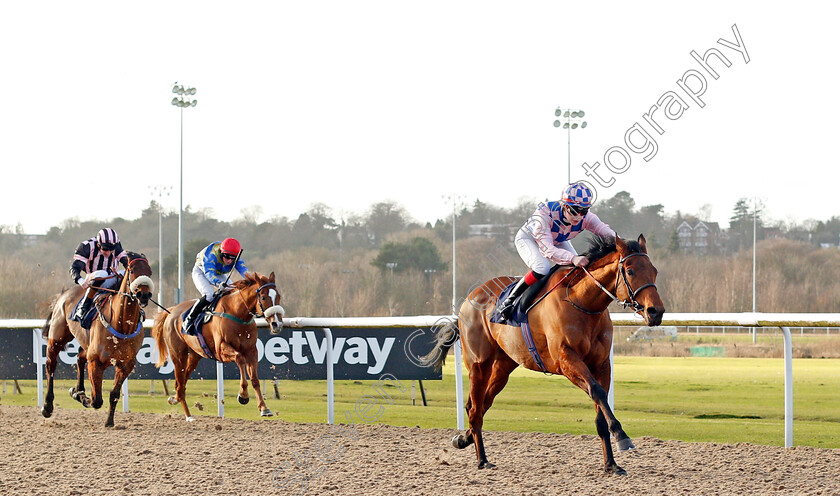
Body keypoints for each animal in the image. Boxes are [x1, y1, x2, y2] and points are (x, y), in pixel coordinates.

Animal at [41, 252, 153, 426]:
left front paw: (109, 421)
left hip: (86, 345)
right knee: (50, 366)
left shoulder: (126, 364)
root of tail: (64, 294)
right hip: (57, 338)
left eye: (150, 272)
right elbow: (96, 400)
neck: (121, 325)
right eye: (133, 270)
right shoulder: (96, 361)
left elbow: (114, 394)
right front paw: (82, 397)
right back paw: (48, 406)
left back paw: (78, 391)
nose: (144, 295)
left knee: (79, 358)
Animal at [155, 274, 288, 420]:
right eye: (263, 297)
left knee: (182, 384)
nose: (277, 324)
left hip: (194, 355)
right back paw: (188, 416)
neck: (237, 314)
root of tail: (171, 311)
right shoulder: (221, 350)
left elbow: (254, 379)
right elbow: (239, 358)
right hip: (178, 355)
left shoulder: (252, 351)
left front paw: (264, 408)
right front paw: (243, 395)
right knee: (180, 384)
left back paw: (175, 399)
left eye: (278, 296)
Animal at [424, 234, 668, 474]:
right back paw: (482, 459)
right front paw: (622, 437)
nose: (655, 311)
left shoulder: (601, 365)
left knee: (482, 404)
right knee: (475, 408)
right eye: (630, 271)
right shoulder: (566, 360)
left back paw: (463, 439)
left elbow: (600, 405)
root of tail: (469, 299)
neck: (581, 302)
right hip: (479, 364)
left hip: (503, 368)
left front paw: (611, 464)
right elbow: (597, 392)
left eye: (654, 270)